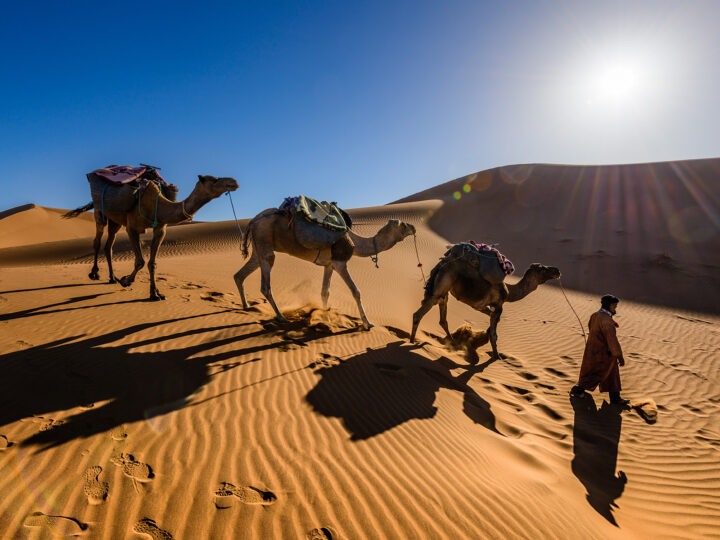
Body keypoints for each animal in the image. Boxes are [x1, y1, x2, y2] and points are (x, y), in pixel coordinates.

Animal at [64, 175, 239, 300]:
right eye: (214, 179)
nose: (234, 182)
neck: (158, 204)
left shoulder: (160, 229)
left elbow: (152, 263)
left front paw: (155, 293)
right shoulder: (132, 228)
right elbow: (140, 261)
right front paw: (126, 280)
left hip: (116, 221)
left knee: (109, 246)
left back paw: (112, 278)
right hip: (99, 212)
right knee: (97, 241)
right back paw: (94, 273)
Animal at [236, 209, 416, 330]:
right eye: (402, 224)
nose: (413, 227)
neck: (355, 242)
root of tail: (253, 221)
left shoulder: (329, 265)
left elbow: (325, 292)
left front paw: (325, 318)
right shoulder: (340, 263)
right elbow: (356, 291)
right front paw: (367, 323)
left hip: (258, 249)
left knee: (240, 275)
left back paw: (246, 306)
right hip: (265, 242)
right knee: (265, 285)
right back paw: (281, 317)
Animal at [410, 255, 564, 360]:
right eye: (542, 268)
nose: (557, 270)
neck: (509, 293)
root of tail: (441, 265)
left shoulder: (482, 307)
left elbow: (492, 322)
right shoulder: (499, 306)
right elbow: (495, 334)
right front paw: (497, 356)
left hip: (444, 292)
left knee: (443, 319)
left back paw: (453, 343)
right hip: (441, 287)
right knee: (419, 314)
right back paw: (412, 341)